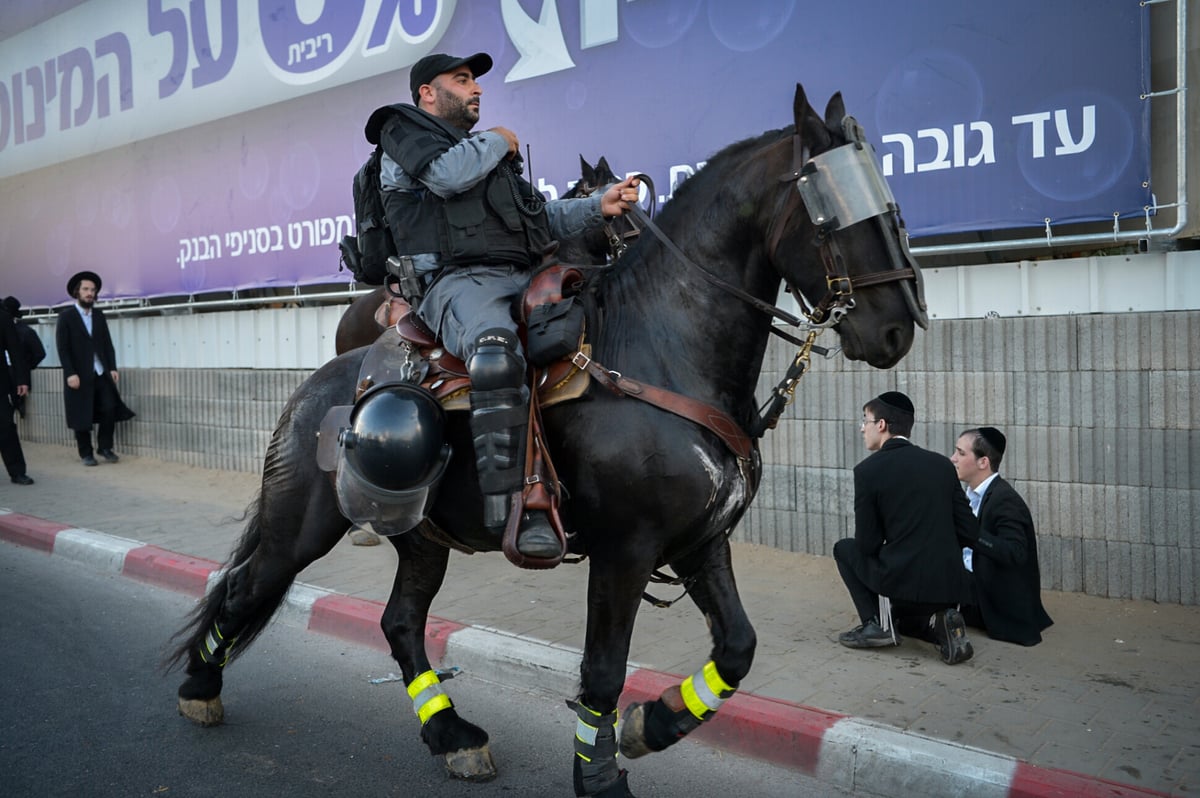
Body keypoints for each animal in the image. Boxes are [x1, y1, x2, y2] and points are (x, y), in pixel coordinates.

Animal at [164, 84, 921, 792]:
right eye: (831, 207)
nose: (896, 328)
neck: (664, 349)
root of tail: (315, 386)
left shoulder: (701, 540)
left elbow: (737, 648)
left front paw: (652, 725)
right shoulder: (625, 550)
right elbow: (604, 670)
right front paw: (600, 774)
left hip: (423, 535)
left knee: (400, 622)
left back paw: (451, 736)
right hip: (303, 524)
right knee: (245, 587)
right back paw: (199, 689)